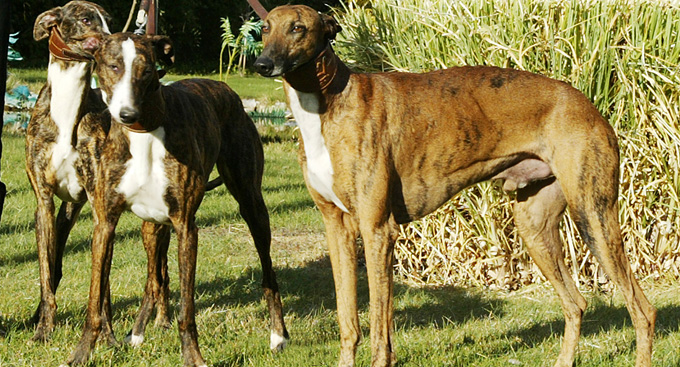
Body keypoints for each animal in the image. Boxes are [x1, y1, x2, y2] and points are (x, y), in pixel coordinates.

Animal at [254, 5, 652, 367]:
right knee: (577, 303)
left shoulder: (377, 230)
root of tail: (588, 105)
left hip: (594, 216)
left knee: (642, 310)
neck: (329, 103)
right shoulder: (337, 228)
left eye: (298, 28)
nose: (261, 65)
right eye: (265, 27)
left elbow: (380, 330)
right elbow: (348, 320)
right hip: (535, 226)